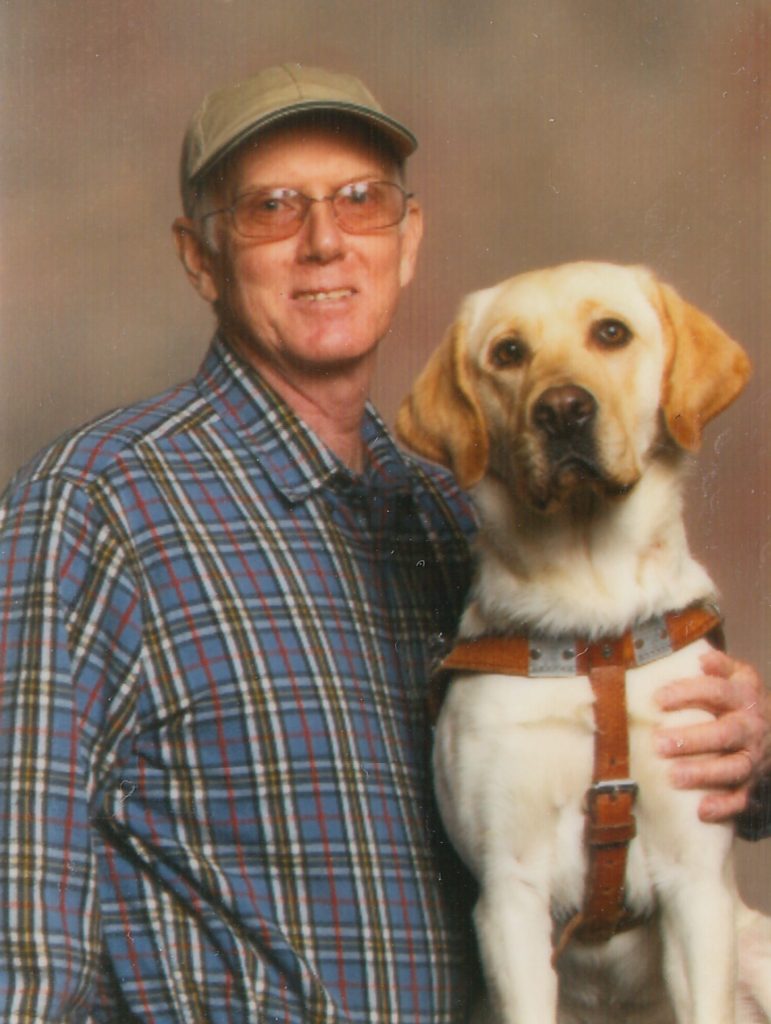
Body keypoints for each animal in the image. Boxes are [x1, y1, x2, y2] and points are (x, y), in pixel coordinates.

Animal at [397, 264, 769, 1024]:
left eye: (611, 333)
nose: (562, 410)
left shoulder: (696, 881)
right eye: (508, 352)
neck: (593, 635)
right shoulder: (509, 895)